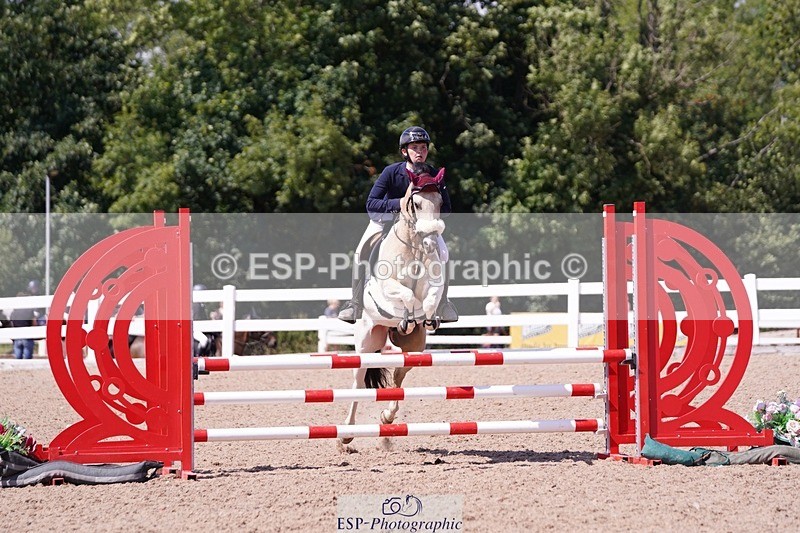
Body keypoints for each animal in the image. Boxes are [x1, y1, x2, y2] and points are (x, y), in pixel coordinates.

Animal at [340, 166, 447, 446]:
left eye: (440, 202)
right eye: (416, 203)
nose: (430, 244)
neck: (414, 250)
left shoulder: (433, 286)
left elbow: (429, 298)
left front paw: (427, 318)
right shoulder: (385, 287)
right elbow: (406, 294)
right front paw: (406, 318)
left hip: (414, 349)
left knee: (399, 376)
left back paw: (387, 417)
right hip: (366, 341)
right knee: (358, 382)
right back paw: (346, 434)